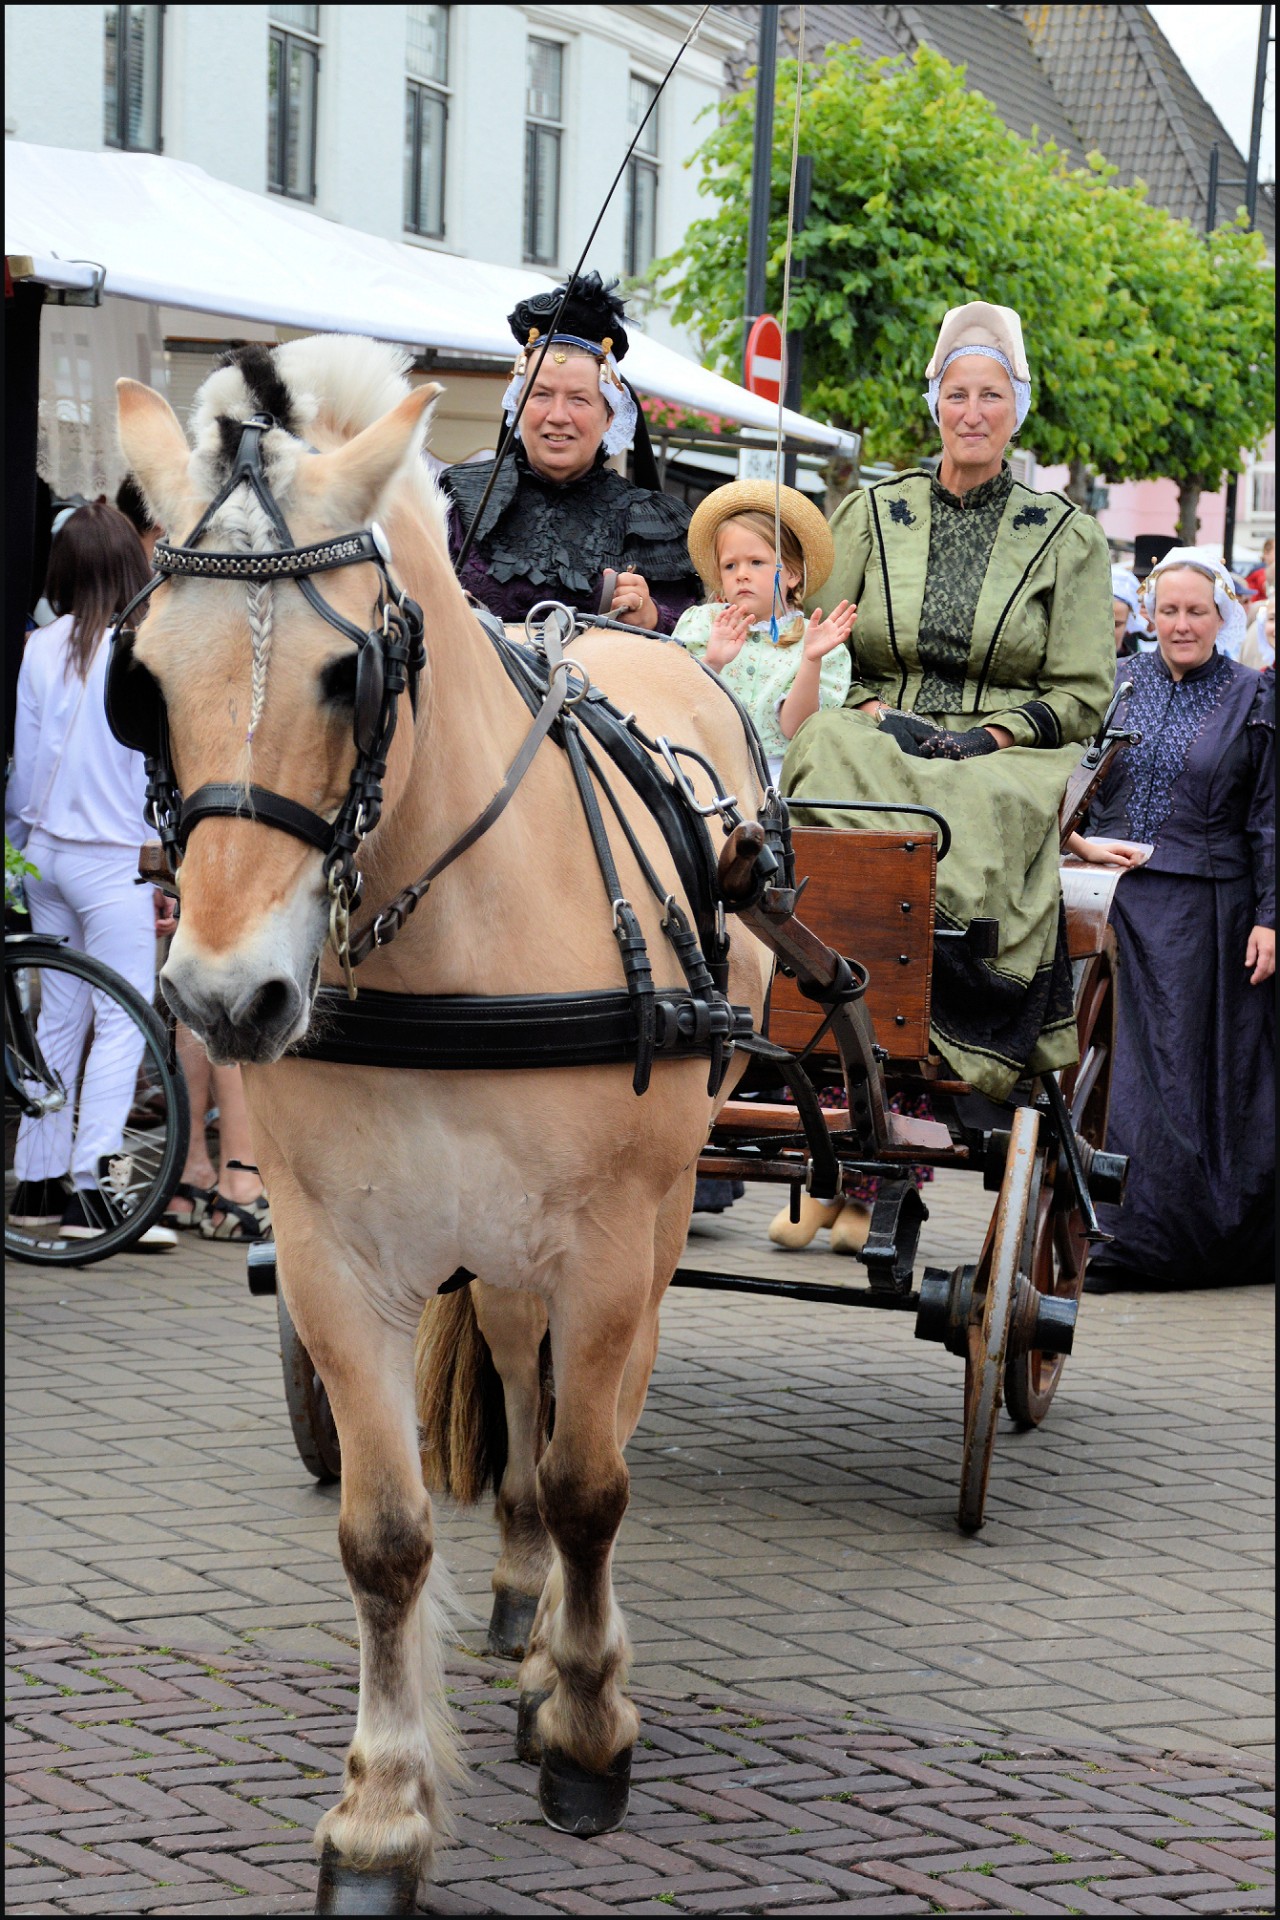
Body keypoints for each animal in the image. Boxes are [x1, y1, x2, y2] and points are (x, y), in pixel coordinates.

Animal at [119, 337, 775, 1912]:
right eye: (141, 677)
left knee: (601, 1415)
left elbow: (596, 1482)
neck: (456, 938)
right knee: (523, 1383)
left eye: (348, 672)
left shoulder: (605, 1241)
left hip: (651, 1216)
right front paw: (380, 1815)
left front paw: (587, 1729)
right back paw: (522, 1594)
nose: (222, 999)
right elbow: (385, 1536)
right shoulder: (330, 1258)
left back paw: (559, 1655)